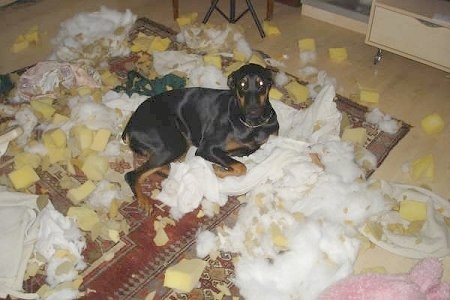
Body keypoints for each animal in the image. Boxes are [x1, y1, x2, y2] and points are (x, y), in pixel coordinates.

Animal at [121, 63, 280, 213]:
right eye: (242, 84)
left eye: (261, 83)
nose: (253, 111)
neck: (252, 125)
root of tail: (129, 125)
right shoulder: (207, 148)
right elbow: (241, 167)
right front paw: (217, 169)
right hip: (173, 145)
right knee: (132, 175)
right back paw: (144, 201)